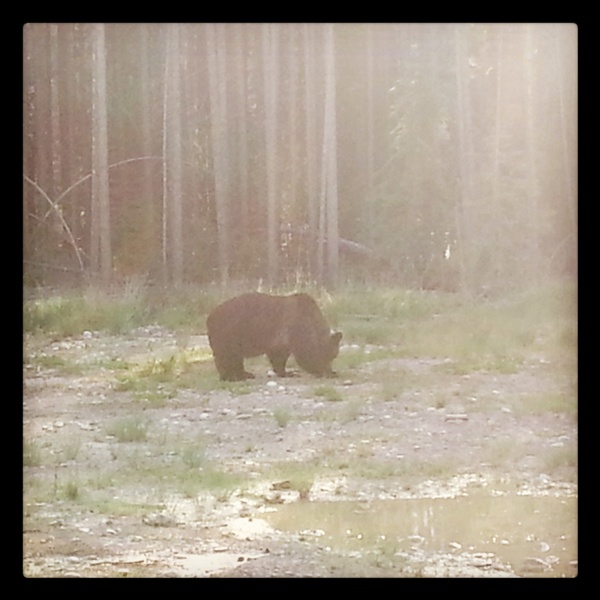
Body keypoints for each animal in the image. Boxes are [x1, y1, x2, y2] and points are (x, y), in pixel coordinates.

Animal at [207, 292, 342, 382]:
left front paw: (286, 372)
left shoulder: (279, 341)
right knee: (228, 356)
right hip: (231, 333)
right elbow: (305, 352)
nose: (330, 368)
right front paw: (326, 371)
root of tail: (210, 316)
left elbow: (278, 356)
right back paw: (233, 376)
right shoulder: (297, 327)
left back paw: (245, 374)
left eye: (334, 355)